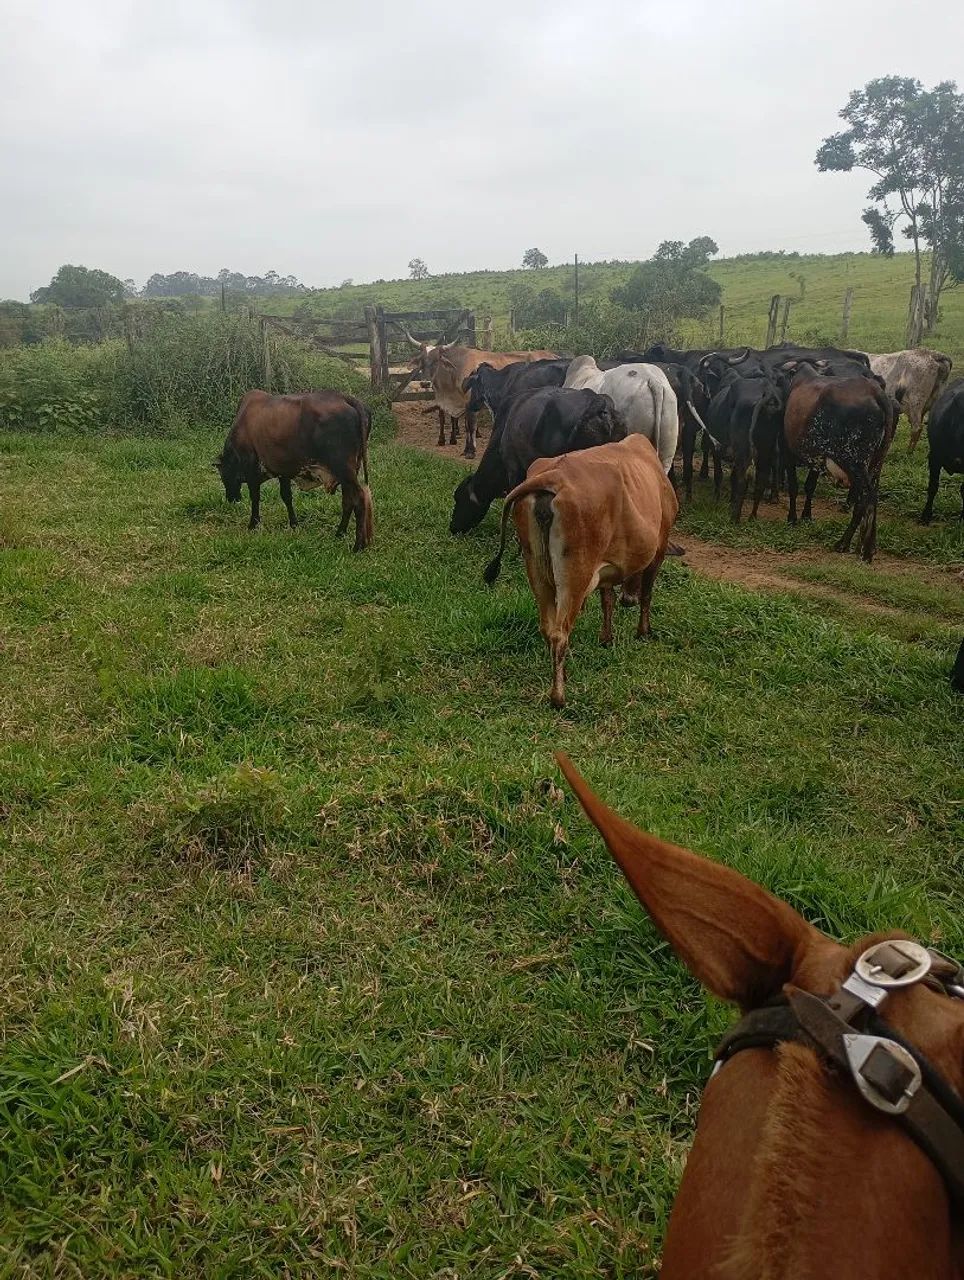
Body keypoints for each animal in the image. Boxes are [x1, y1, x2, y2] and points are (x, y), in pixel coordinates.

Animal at [214, 389, 373, 550]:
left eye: (223, 476)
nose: (232, 499)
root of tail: (345, 398)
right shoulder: (282, 470)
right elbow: (287, 496)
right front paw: (294, 524)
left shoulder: (251, 468)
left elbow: (255, 498)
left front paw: (253, 525)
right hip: (348, 472)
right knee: (348, 501)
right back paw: (340, 533)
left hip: (344, 470)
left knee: (359, 499)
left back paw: (358, 546)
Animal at [405, 337, 557, 457]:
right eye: (422, 361)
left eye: (437, 360)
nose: (425, 383)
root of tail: (553, 354)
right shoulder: (464, 406)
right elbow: (466, 427)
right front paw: (465, 449)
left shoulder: (471, 404)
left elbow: (471, 426)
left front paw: (471, 451)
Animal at [483, 435, 678, 707]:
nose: (628, 598)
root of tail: (552, 476)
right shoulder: (658, 550)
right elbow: (647, 597)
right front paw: (643, 632)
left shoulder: (606, 569)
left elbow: (607, 601)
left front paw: (607, 638)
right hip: (575, 575)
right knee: (560, 633)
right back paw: (558, 696)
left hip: (537, 569)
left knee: (547, 627)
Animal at [781, 368, 895, 561]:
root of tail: (876, 392)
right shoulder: (817, 457)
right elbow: (809, 486)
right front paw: (806, 515)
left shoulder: (788, 452)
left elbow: (794, 487)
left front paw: (792, 518)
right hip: (876, 463)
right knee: (872, 495)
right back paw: (867, 546)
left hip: (854, 461)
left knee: (866, 496)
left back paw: (849, 545)